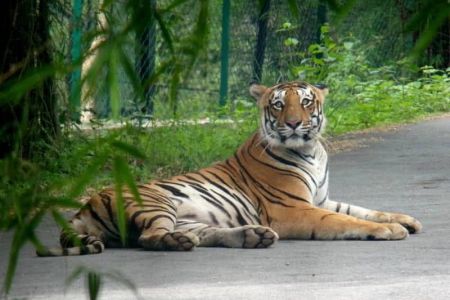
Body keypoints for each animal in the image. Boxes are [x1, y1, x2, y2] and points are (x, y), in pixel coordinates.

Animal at [37, 81, 422, 256]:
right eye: (278, 105)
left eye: (306, 101)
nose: (294, 124)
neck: (312, 151)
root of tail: (83, 207)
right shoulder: (294, 209)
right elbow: (346, 220)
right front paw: (390, 231)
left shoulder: (321, 199)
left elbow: (362, 209)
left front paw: (405, 219)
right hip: (156, 203)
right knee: (147, 238)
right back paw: (179, 242)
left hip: (191, 218)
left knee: (204, 235)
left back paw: (252, 236)